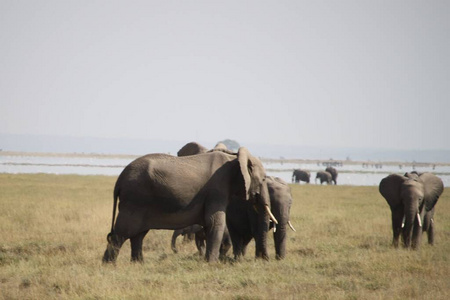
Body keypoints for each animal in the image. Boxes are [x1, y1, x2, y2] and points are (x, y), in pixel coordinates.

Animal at [103, 147, 278, 262]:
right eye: (263, 179)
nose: (265, 259)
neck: (234, 158)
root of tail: (119, 180)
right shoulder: (217, 190)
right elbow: (214, 222)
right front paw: (211, 264)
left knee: (138, 235)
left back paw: (138, 264)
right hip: (134, 200)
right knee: (122, 233)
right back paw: (109, 266)